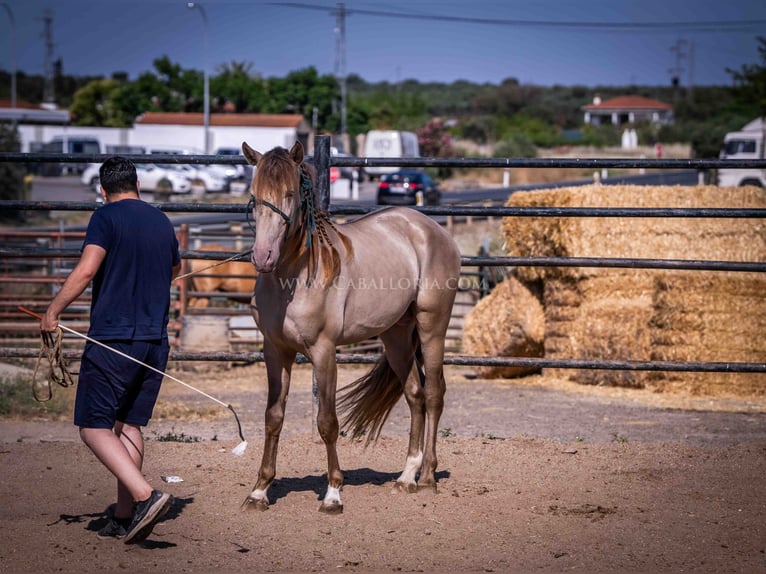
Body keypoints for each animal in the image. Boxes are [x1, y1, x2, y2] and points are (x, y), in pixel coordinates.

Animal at [243, 142, 464, 516]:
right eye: (254, 195)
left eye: (289, 194)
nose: (263, 257)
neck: (294, 277)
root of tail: (432, 229)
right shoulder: (275, 351)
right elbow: (273, 417)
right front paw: (259, 491)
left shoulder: (324, 351)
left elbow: (327, 422)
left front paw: (333, 494)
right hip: (396, 337)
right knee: (415, 395)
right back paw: (407, 476)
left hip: (432, 326)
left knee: (434, 394)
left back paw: (428, 477)